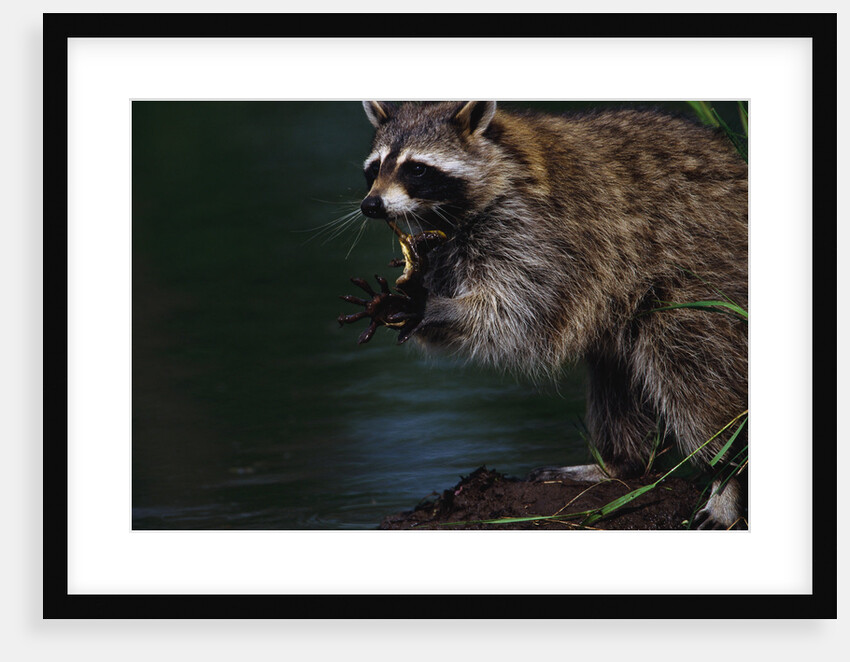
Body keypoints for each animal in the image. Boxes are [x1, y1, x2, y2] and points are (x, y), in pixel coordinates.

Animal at [351, 100, 748, 529]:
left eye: (417, 169)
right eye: (375, 167)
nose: (371, 205)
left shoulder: (540, 231)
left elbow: (517, 311)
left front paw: (434, 305)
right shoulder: (448, 241)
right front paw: (414, 296)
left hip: (705, 276)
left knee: (689, 364)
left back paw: (725, 474)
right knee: (614, 371)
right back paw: (622, 462)